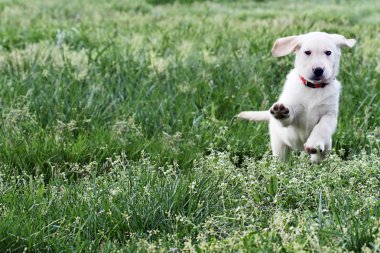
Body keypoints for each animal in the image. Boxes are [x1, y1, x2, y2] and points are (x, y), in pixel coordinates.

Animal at [239, 32, 354, 162]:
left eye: (328, 52)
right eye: (307, 52)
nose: (318, 70)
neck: (313, 88)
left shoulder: (329, 114)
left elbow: (322, 126)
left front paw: (314, 144)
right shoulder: (294, 111)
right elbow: (289, 117)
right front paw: (281, 112)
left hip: (327, 146)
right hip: (279, 146)